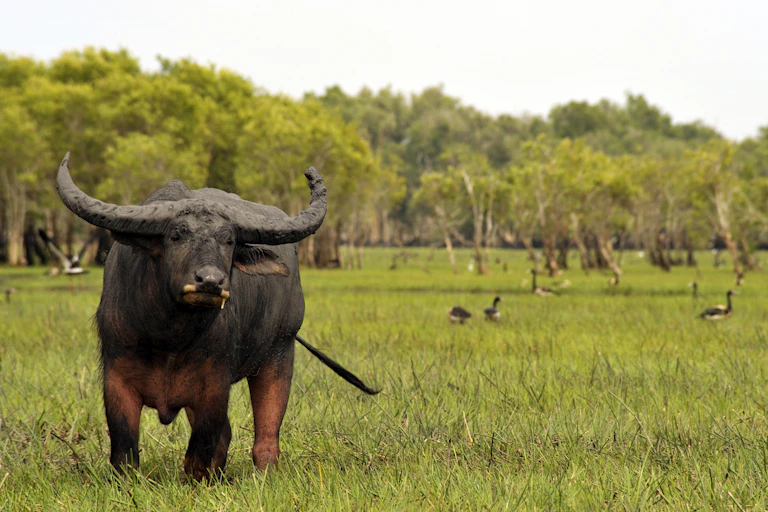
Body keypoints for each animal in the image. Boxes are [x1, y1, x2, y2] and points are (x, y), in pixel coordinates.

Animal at [55, 153, 377, 480]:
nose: (210, 281)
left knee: (265, 435)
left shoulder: (214, 385)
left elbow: (200, 452)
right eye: (176, 235)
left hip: (280, 351)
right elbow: (124, 452)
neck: (169, 335)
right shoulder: (117, 379)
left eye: (229, 241)